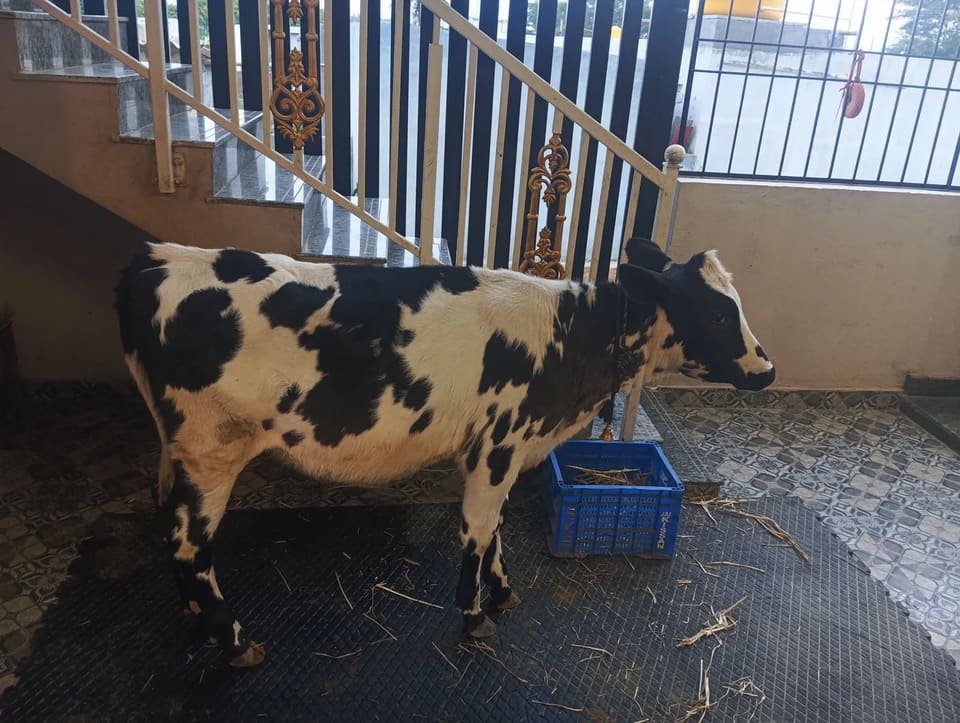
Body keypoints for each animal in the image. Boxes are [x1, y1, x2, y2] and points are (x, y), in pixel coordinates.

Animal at [115, 237, 774, 667]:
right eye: (720, 312)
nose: (767, 370)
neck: (569, 335)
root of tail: (158, 257)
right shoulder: (498, 442)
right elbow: (478, 531)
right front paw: (475, 615)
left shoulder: (502, 449)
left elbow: (497, 526)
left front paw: (502, 592)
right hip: (212, 449)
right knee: (189, 543)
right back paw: (233, 640)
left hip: (179, 450)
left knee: (167, 521)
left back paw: (196, 621)